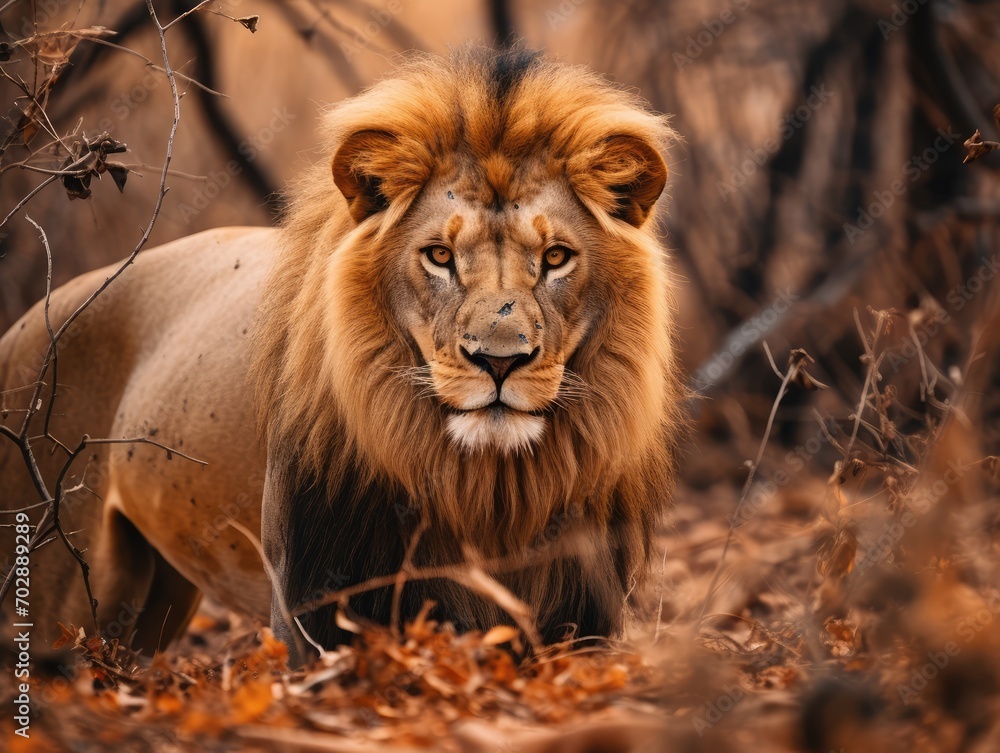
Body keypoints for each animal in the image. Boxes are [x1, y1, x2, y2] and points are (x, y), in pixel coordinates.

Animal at [0, 47, 681, 664]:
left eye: (556, 257)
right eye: (439, 256)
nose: (498, 361)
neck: (484, 492)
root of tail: (27, 323)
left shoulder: (578, 616)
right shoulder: (312, 609)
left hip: (151, 605)